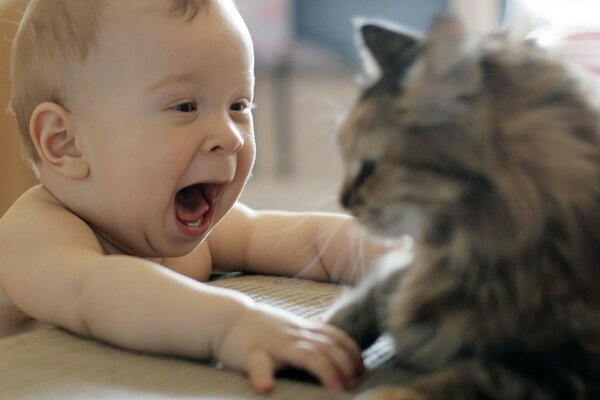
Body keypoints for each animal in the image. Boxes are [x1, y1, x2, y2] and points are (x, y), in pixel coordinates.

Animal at [326, 14, 600, 398]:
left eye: (369, 166)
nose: (343, 201)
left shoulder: (568, 370)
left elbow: (471, 375)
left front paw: (389, 391)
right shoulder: (405, 273)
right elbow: (366, 301)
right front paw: (316, 340)